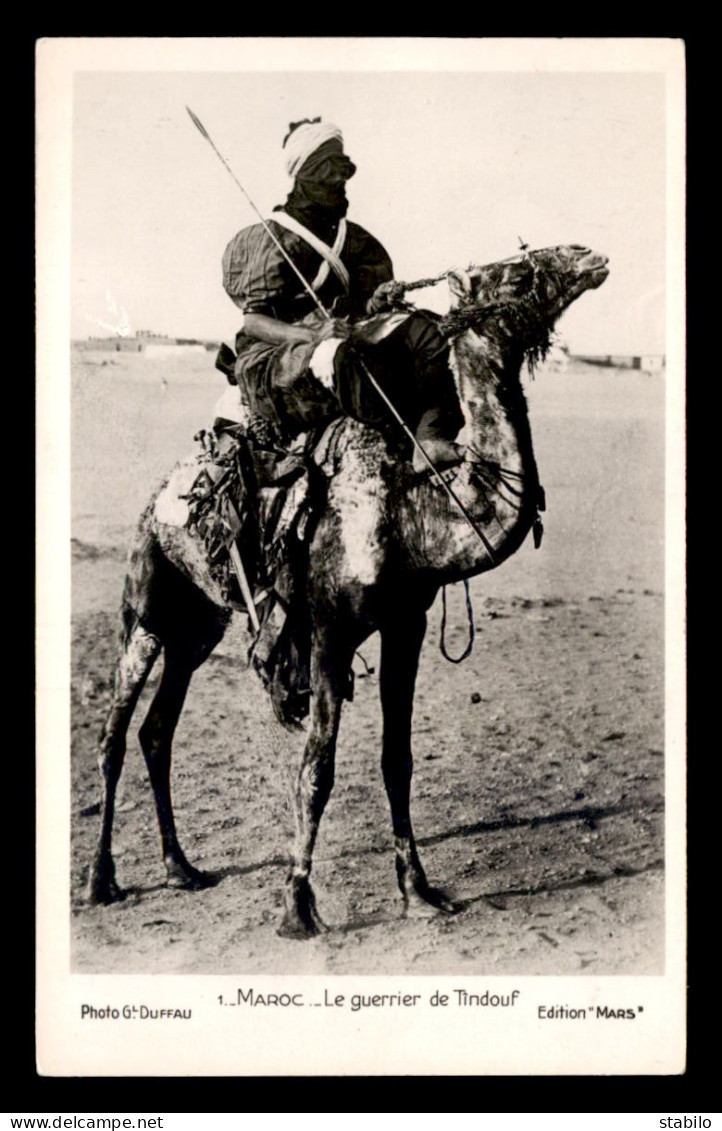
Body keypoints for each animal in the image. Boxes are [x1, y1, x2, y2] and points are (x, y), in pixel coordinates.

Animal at [89, 245, 611, 936]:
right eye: (517, 272)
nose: (589, 257)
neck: (415, 511)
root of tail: (161, 496)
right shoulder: (329, 632)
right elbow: (317, 768)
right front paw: (296, 906)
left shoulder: (406, 625)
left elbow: (398, 760)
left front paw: (419, 891)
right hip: (146, 605)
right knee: (115, 733)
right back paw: (101, 881)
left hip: (199, 625)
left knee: (157, 730)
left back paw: (182, 868)